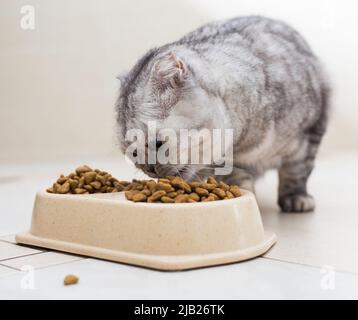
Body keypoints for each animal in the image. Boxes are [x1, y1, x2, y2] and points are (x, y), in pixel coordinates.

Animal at [115, 16, 330, 212]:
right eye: (133, 153)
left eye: (158, 143)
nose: (150, 170)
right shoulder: (230, 163)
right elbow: (238, 179)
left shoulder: (311, 133)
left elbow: (297, 171)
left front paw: (296, 197)